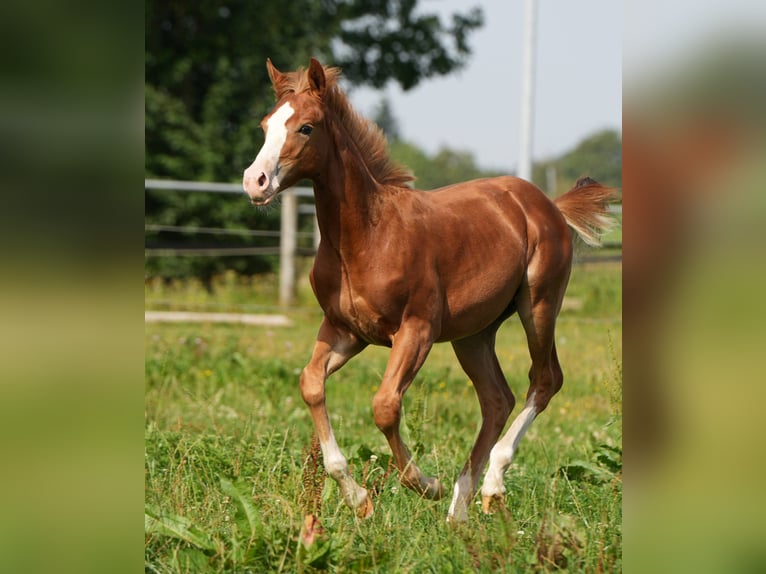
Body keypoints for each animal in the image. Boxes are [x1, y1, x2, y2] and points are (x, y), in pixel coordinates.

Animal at [243, 59, 616, 528]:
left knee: (545, 379)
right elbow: (311, 384)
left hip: (540, 305)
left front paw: (426, 485)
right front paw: (358, 499)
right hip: (473, 334)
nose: (254, 182)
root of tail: (547, 204)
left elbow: (385, 405)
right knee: (497, 399)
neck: (367, 235)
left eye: (306, 127)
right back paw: (459, 511)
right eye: (265, 125)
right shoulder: (345, 331)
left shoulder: (416, 329)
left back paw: (489, 487)